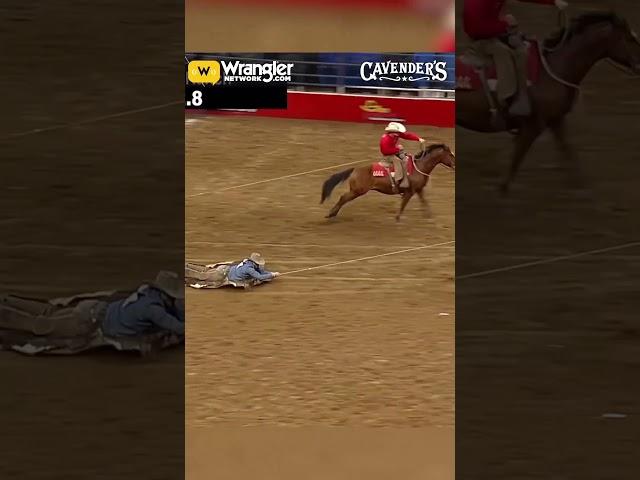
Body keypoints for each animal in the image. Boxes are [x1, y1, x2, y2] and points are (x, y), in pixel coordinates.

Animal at [320, 143, 456, 220]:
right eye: (450, 154)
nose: (455, 165)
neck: (419, 166)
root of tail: (355, 169)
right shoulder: (409, 192)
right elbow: (403, 205)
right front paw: (398, 218)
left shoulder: (418, 190)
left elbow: (424, 202)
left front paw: (429, 216)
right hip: (357, 191)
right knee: (343, 198)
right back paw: (331, 214)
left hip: (356, 191)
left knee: (343, 198)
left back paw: (332, 214)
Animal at [458, 10, 640, 193]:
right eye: (630, 38)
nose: (639, 65)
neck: (554, 67)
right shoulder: (533, 126)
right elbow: (517, 158)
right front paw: (503, 189)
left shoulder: (555, 120)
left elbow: (567, 150)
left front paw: (580, 186)